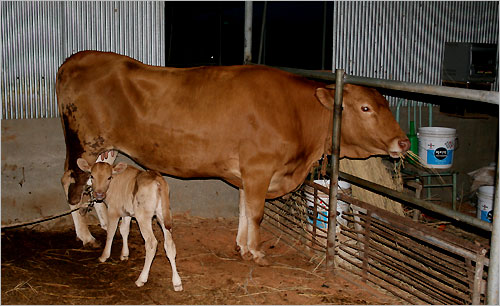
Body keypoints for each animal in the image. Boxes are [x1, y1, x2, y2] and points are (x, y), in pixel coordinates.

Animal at [57, 50, 410, 266]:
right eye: (365, 108)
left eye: (384, 105)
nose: (403, 141)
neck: (297, 113)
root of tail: (76, 59)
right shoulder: (259, 167)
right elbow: (256, 213)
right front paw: (256, 251)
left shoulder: (246, 173)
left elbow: (243, 209)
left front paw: (241, 246)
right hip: (83, 143)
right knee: (72, 183)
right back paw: (86, 235)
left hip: (105, 147)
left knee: (98, 180)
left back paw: (105, 224)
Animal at [76, 158, 182, 290]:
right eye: (92, 175)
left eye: (109, 177)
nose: (99, 194)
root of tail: (157, 178)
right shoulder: (126, 212)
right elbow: (124, 230)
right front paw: (124, 255)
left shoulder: (113, 211)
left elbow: (111, 232)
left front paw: (104, 256)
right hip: (163, 215)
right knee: (169, 244)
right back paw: (177, 282)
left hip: (143, 217)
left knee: (151, 243)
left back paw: (141, 279)